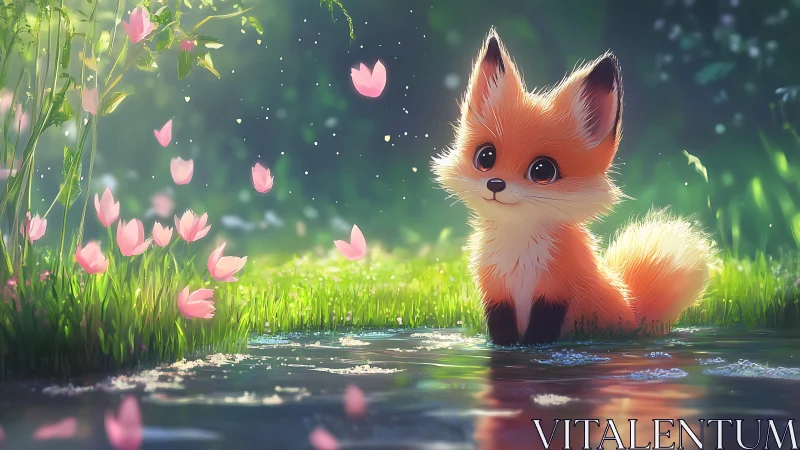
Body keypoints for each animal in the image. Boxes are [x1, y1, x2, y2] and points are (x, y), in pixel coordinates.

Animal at [431, 28, 717, 346]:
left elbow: (540, 333)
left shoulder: (555, 293)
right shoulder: (496, 293)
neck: (519, 255)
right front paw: (505, 348)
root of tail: (633, 310)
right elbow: (502, 332)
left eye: (542, 171)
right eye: (486, 157)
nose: (496, 184)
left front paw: (532, 348)